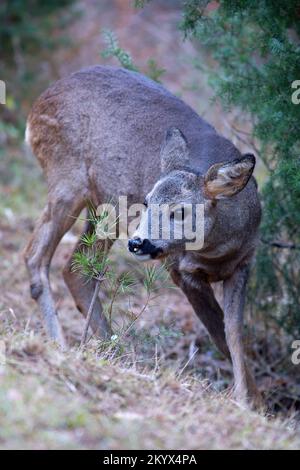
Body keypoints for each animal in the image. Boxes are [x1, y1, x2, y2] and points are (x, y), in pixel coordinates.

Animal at [24, 64, 262, 406]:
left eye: (180, 211)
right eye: (147, 201)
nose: (138, 242)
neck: (218, 250)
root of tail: (38, 105)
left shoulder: (243, 264)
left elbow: (233, 333)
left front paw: (252, 399)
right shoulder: (180, 269)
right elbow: (218, 331)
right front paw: (247, 401)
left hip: (106, 207)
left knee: (75, 268)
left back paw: (114, 349)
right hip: (67, 180)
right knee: (36, 255)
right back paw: (61, 345)